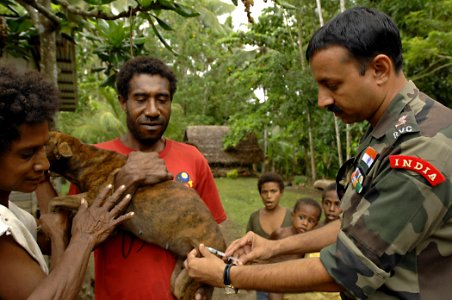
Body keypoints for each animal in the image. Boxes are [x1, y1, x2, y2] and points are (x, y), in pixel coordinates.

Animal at [46, 131, 226, 300]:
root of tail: (223, 247)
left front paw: (46, 221)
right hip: (183, 269)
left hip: (197, 266)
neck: (84, 157)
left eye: (44, 143)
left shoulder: (94, 197)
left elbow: (55, 200)